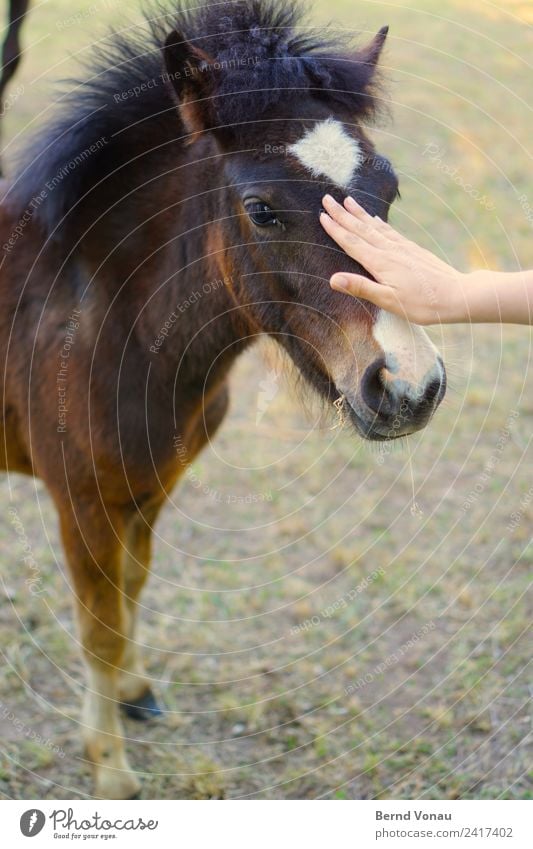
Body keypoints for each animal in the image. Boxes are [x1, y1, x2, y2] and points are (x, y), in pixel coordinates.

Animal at [0, 0, 444, 796]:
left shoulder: (150, 485)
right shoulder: (80, 499)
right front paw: (111, 770)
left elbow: (133, 589)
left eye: (388, 189)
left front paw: (135, 692)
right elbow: (97, 627)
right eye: (261, 209)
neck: (99, 316)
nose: (408, 385)